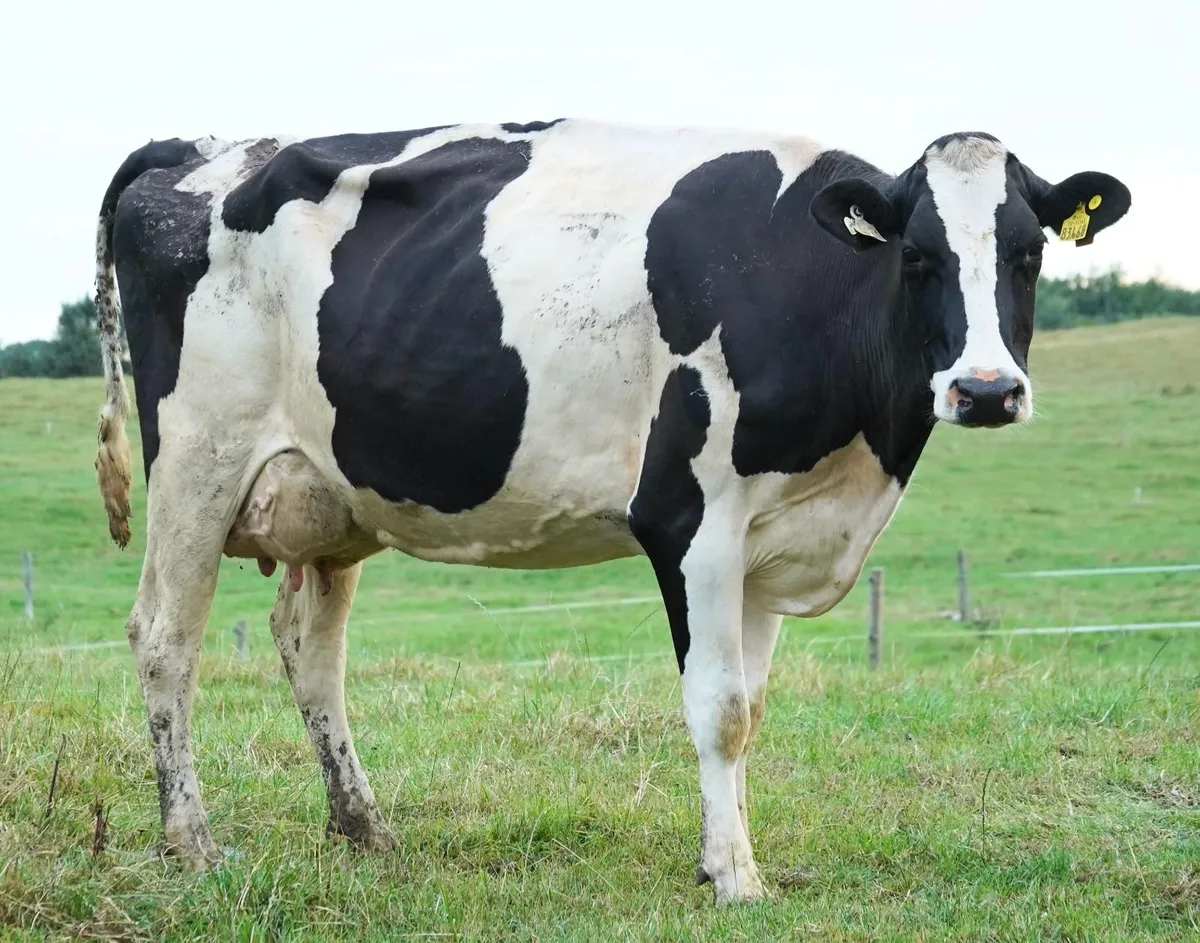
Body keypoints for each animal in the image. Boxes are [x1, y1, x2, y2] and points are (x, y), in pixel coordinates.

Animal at [93, 119, 1129, 904]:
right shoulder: (690, 521)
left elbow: (751, 706)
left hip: (328, 491)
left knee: (310, 648)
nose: (986, 390)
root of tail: (202, 146)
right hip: (198, 458)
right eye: (917, 257)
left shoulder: (768, 543)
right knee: (165, 635)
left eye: (1029, 253)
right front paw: (738, 879)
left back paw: (364, 826)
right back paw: (190, 839)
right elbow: (718, 708)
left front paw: (722, 854)